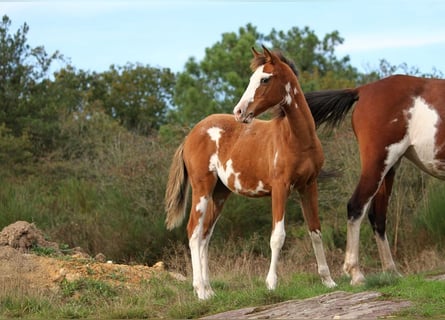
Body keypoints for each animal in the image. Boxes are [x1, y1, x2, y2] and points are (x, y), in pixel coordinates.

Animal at [165, 45, 334, 300]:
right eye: (252, 78)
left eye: (265, 79)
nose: (239, 111)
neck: (297, 139)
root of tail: (190, 136)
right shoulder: (280, 187)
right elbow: (278, 236)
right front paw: (271, 284)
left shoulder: (309, 185)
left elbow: (315, 230)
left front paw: (329, 281)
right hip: (202, 188)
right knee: (193, 231)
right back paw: (200, 291)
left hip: (220, 193)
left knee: (205, 234)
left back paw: (210, 290)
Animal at [306, 74, 445, 284]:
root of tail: (362, 90)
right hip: (378, 163)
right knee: (356, 207)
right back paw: (356, 273)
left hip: (388, 168)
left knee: (377, 215)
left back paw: (391, 270)